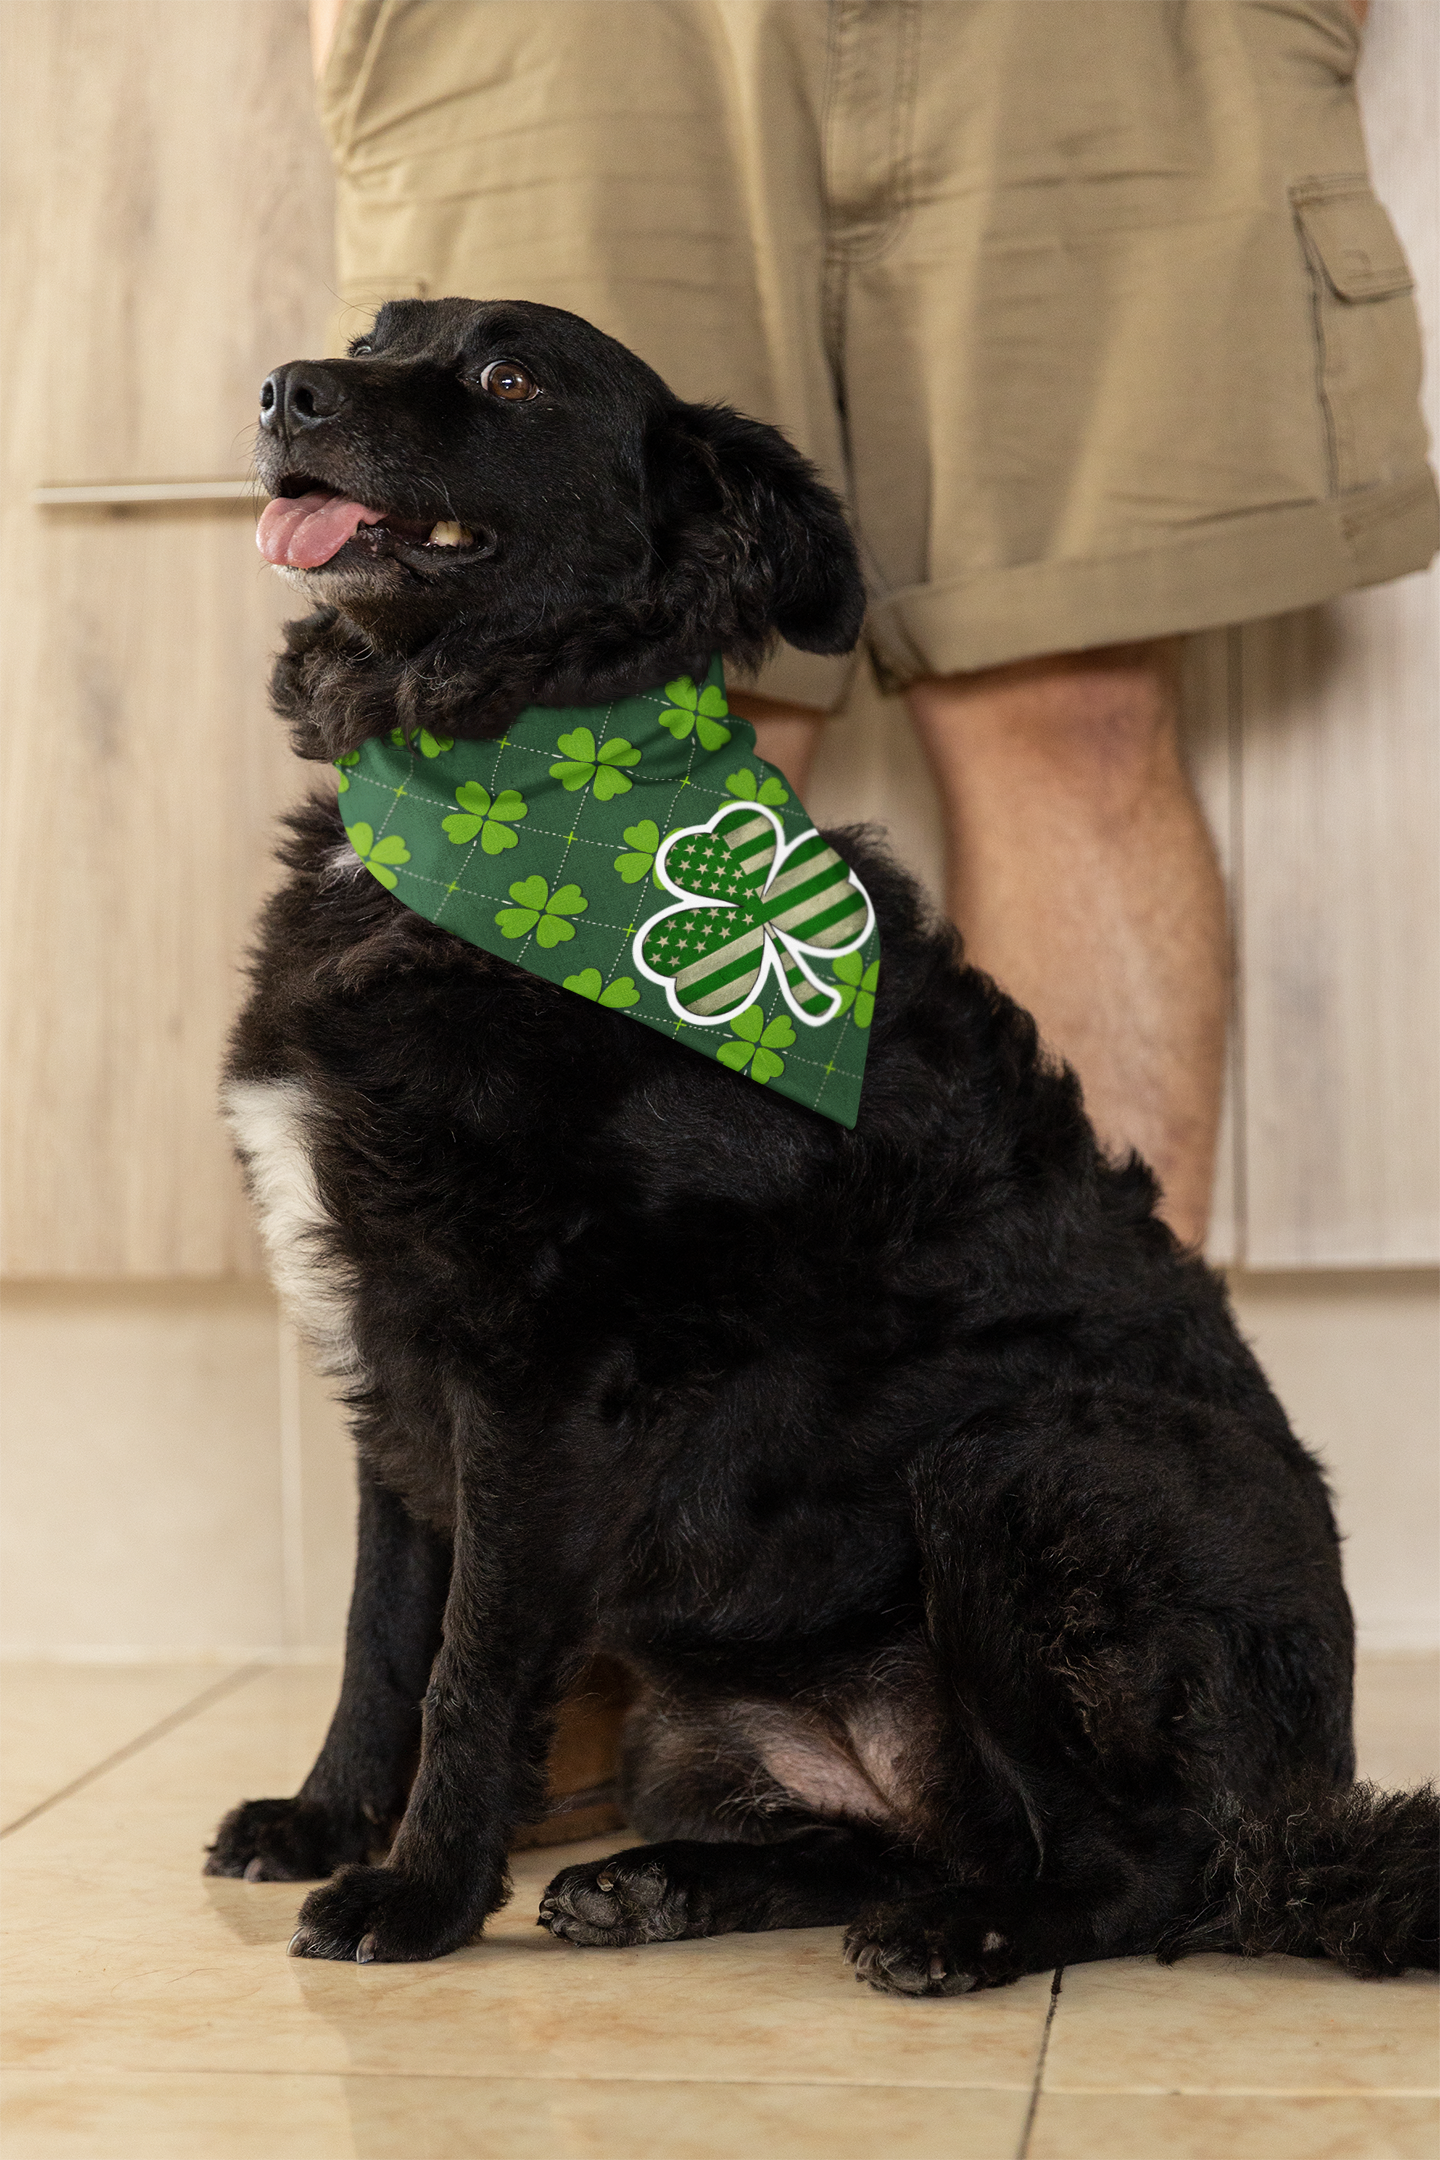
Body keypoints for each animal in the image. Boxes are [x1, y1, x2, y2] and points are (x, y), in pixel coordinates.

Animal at [208, 300, 1440, 1987]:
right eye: (376, 332)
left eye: (507, 377)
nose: (282, 391)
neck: (505, 782)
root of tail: (1305, 1811)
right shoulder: (389, 1343)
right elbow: (379, 1633)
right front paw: (326, 1820)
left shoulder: (528, 1372)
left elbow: (468, 1659)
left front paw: (417, 1892)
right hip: (718, 1714)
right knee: (895, 1837)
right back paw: (663, 1881)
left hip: (1029, 1466)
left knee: (1145, 1870)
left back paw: (965, 1936)